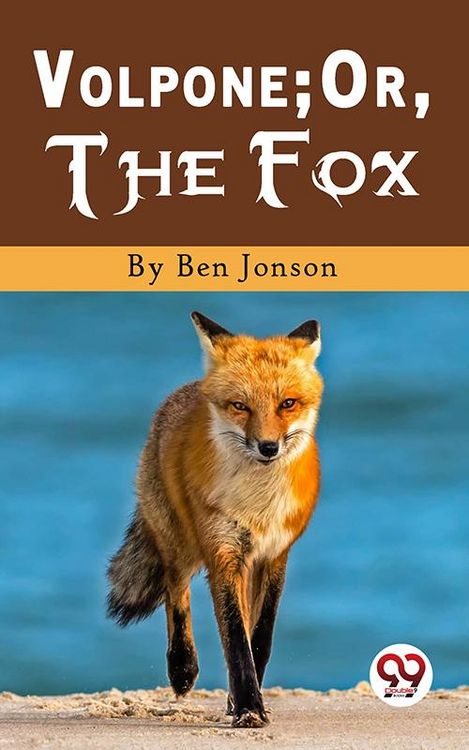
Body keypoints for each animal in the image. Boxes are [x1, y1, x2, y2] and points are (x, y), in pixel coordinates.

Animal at [107, 311, 323, 728]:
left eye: (287, 403)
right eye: (240, 406)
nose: (268, 447)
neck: (258, 504)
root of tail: (186, 390)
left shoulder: (275, 555)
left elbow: (259, 638)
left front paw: (243, 700)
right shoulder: (222, 552)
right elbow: (236, 641)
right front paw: (249, 708)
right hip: (180, 541)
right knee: (175, 590)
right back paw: (182, 668)